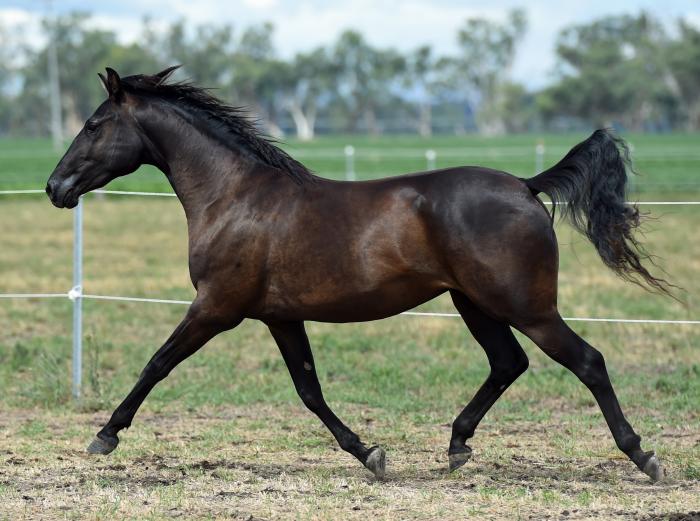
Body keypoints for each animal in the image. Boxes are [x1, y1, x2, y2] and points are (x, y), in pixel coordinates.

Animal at [46, 66, 670, 482]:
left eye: (94, 125)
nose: (56, 187)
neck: (235, 197)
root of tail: (525, 185)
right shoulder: (279, 316)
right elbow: (309, 390)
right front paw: (371, 454)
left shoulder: (216, 307)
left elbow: (157, 363)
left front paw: (103, 436)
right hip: (474, 303)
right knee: (507, 363)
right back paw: (457, 446)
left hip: (526, 307)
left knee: (587, 361)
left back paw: (643, 456)